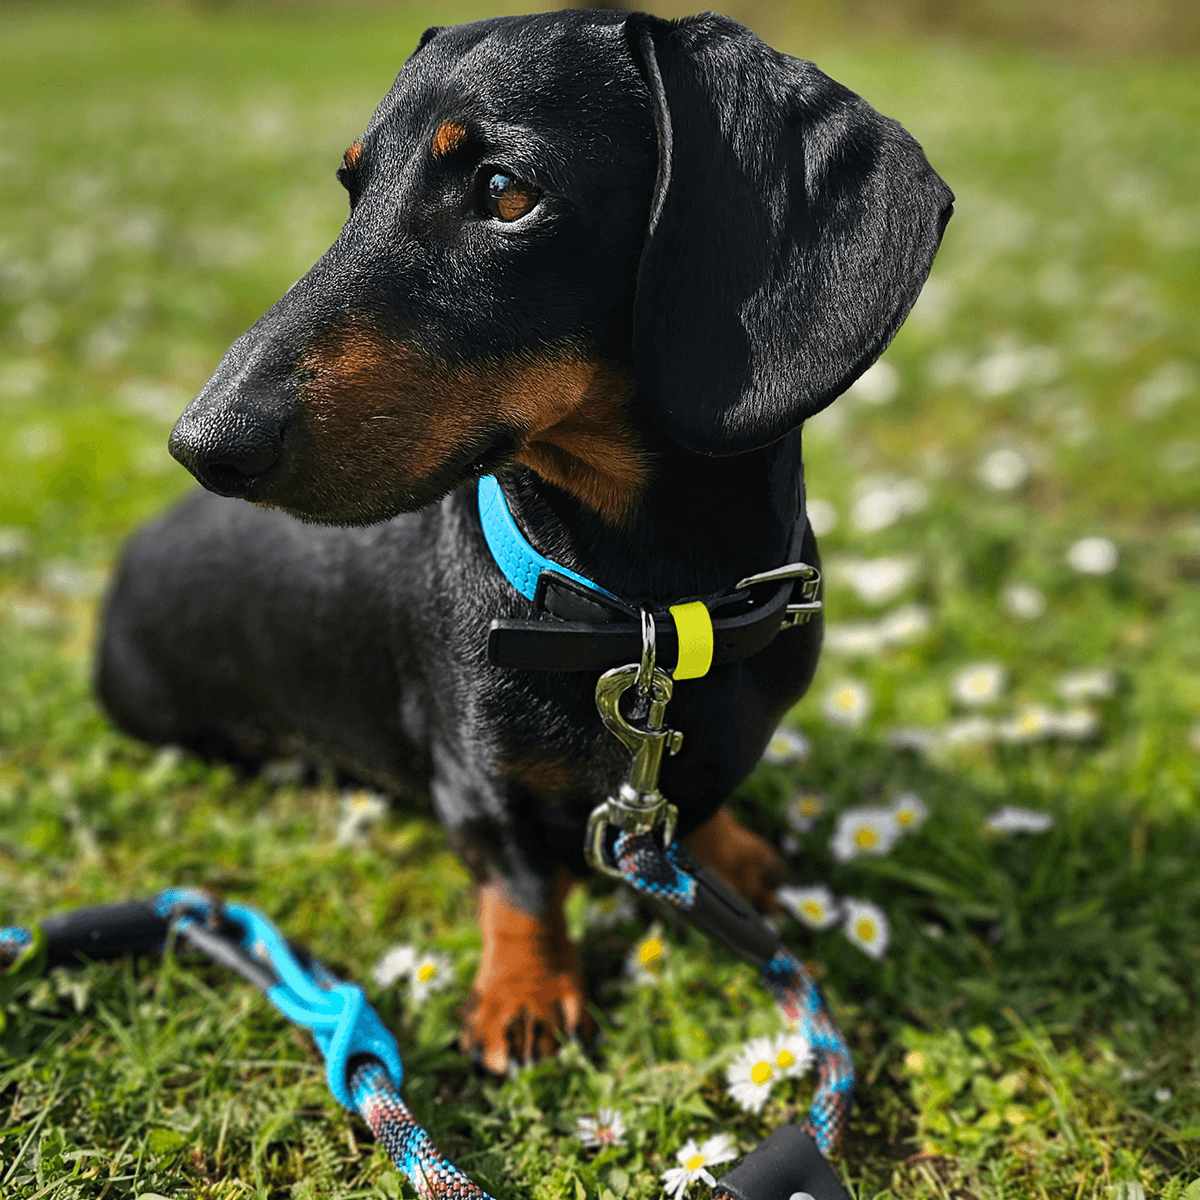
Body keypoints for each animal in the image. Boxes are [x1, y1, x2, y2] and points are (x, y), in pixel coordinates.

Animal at [96, 9, 955, 1075]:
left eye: (506, 190)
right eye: (351, 188)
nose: (203, 444)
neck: (641, 614)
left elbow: (699, 804)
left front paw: (732, 859)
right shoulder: (473, 779)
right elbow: (520, 881)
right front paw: (527, 994)